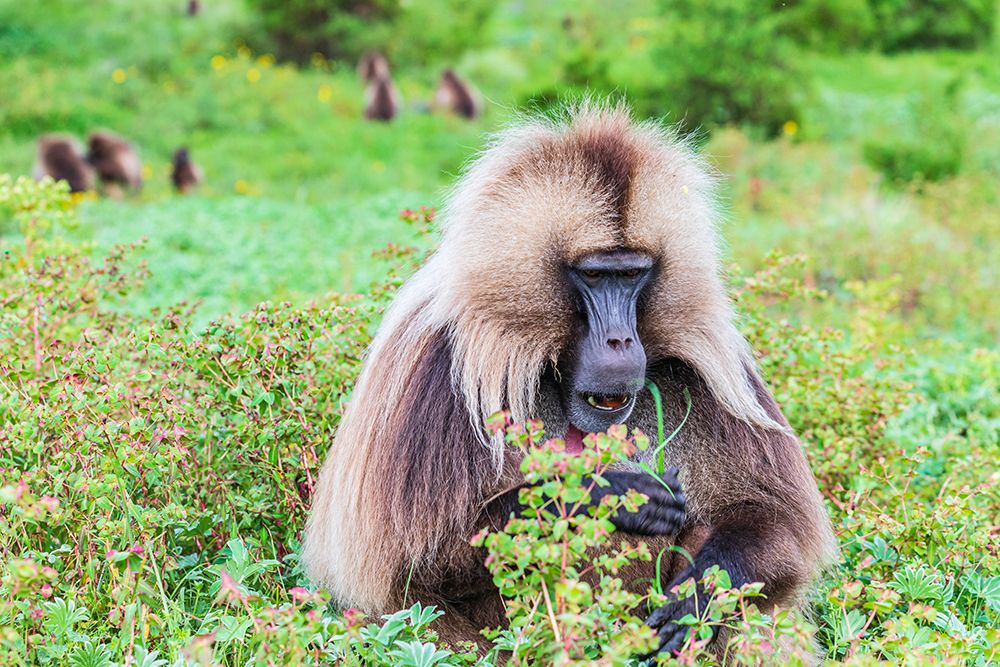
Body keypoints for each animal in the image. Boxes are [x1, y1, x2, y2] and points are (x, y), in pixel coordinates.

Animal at [302, 103, 836, 659]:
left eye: (633, 274)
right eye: (595, 275)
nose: (621, 342)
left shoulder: (716, 367)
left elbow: (773, 523)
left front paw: (695, 600)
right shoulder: (430, 367)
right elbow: (407, 564)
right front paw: (606, 491)